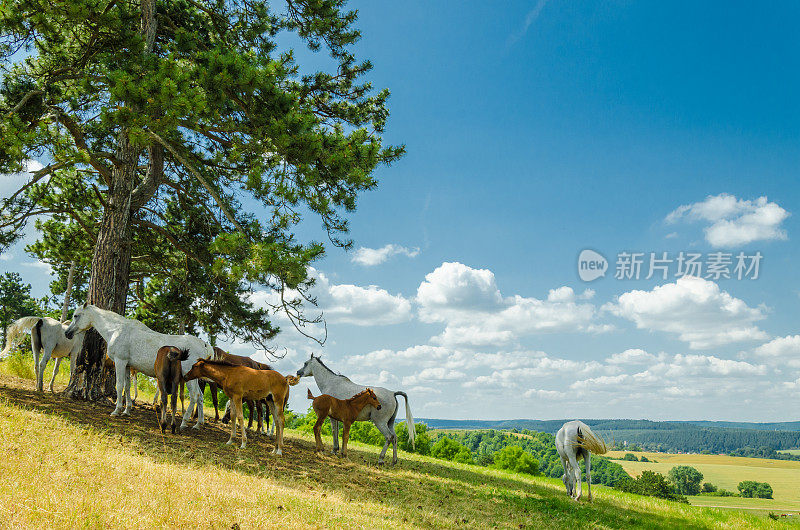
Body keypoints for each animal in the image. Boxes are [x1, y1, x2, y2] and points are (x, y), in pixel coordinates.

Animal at [65, 302, 214, 424]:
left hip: (188, 377)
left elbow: (119, 385)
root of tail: (204, 345)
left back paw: (184, 422)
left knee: (194, 396)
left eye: (76, 315)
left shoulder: (120, 362)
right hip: (193, 377)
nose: (67, 333)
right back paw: (198, 424)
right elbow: (127, 387)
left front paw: (116, 410)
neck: (117, 330)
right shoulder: (127, 365)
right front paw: (126, 410)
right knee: (200, 397)